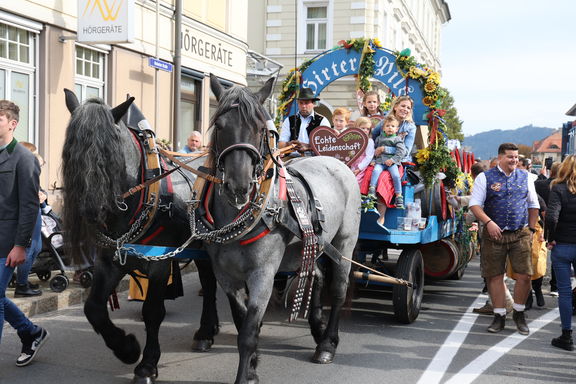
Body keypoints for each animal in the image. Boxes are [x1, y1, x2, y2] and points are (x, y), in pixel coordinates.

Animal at [60, 91, 218, 384]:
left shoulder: (159, 264)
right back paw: (207, 330)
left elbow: (153, 312)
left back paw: (204, 331)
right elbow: (93, 308)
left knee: (211, 285)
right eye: (71, 149)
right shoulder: (110, 260)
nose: (91, 209)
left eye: (109, 151)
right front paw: (127, 348)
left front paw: (146, 364)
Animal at [207, 76, 360, 384]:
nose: (238, 187)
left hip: (345, 243)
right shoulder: (225, 277)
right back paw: (317, 328)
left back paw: (328, 343)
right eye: (220, 125)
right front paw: (253, 367)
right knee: (316, 276)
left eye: (260, 129)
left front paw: (246, 374)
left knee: (338, 289)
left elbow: (248, 334)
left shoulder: (263, 274)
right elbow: (242, 323)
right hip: (311, 245)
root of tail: (337, 161)